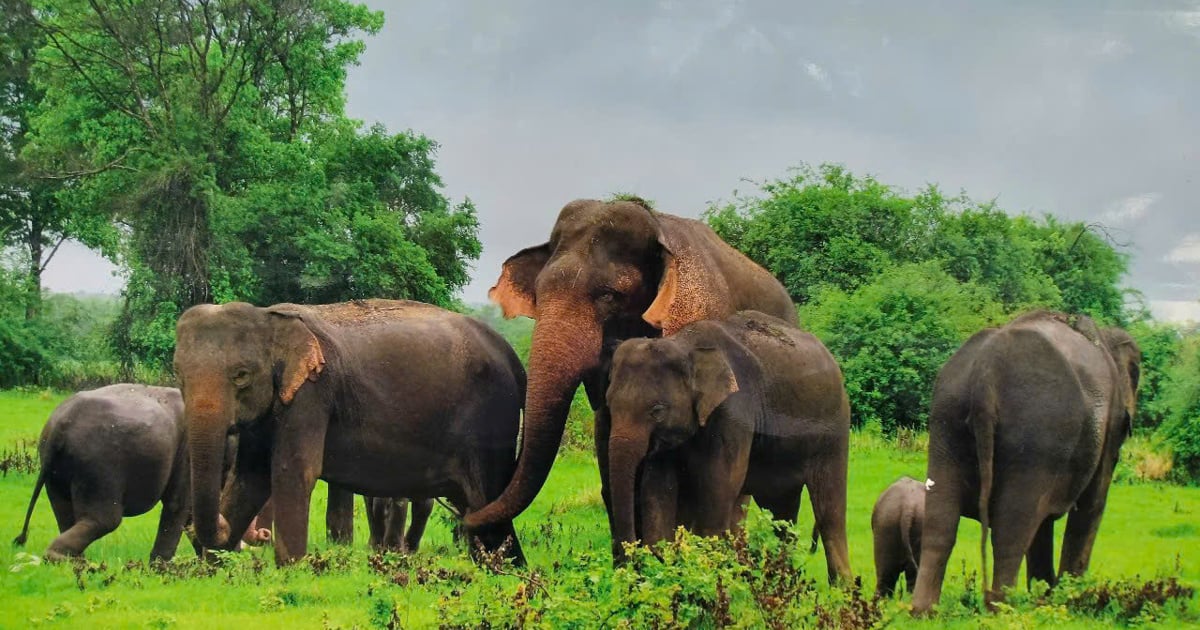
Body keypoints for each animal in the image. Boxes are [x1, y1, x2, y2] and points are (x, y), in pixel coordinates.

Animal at [11, 384, 192, 559]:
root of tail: (61, 423)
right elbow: (178, 504)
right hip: (101, 464)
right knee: (105, 520)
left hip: (56, 467)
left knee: (64, 512)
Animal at [172, 298, 525, 564]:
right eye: (178, 374)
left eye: (241, 375)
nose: (222, 527)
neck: (269, 317)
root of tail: (512, 356)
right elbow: (250, 477)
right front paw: (214, 566)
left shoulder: (312, 393)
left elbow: (293, 471)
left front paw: (291, 569)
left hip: (490, 424)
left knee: (487, 499)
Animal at [604, 312, 849, 583]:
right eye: (609, 404)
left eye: (656, 410)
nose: (628, 568)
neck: (684, 344)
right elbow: (659, 492)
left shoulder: (733, 412)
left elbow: (718, 489)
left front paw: (708, 576)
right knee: (781, 511)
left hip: (834, 427)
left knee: (830, 511)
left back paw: (842, 587)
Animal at [907, 312, 1142, 612]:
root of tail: (986, 370)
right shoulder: (1110, 426)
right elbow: (1091, 505)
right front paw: (1069, 598)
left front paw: (1046, 596)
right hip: (1035, 430)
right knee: (1011, 528)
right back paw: (1001, 609)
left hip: (946, 419)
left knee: (941, 524)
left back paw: (924, 612)